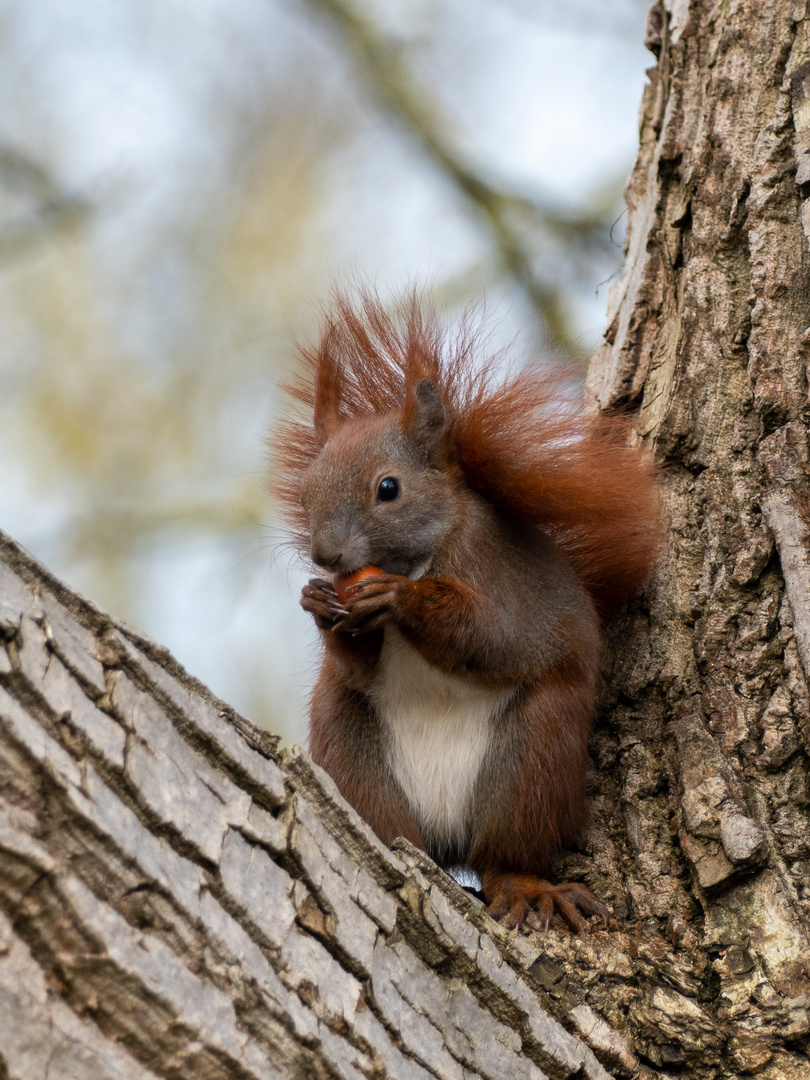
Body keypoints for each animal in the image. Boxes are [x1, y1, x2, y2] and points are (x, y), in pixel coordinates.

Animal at [273, 293, 660, 928]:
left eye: (388, 488)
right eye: (306, 493)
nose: (326, 556)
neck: (417, 559)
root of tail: (448, 837)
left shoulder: (501, 579)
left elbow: (498, 639)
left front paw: (403, 601)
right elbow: (356, 668)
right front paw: (317, 603)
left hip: (535, 756)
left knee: (506, 853)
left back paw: (524, 886)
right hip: (353, 752)